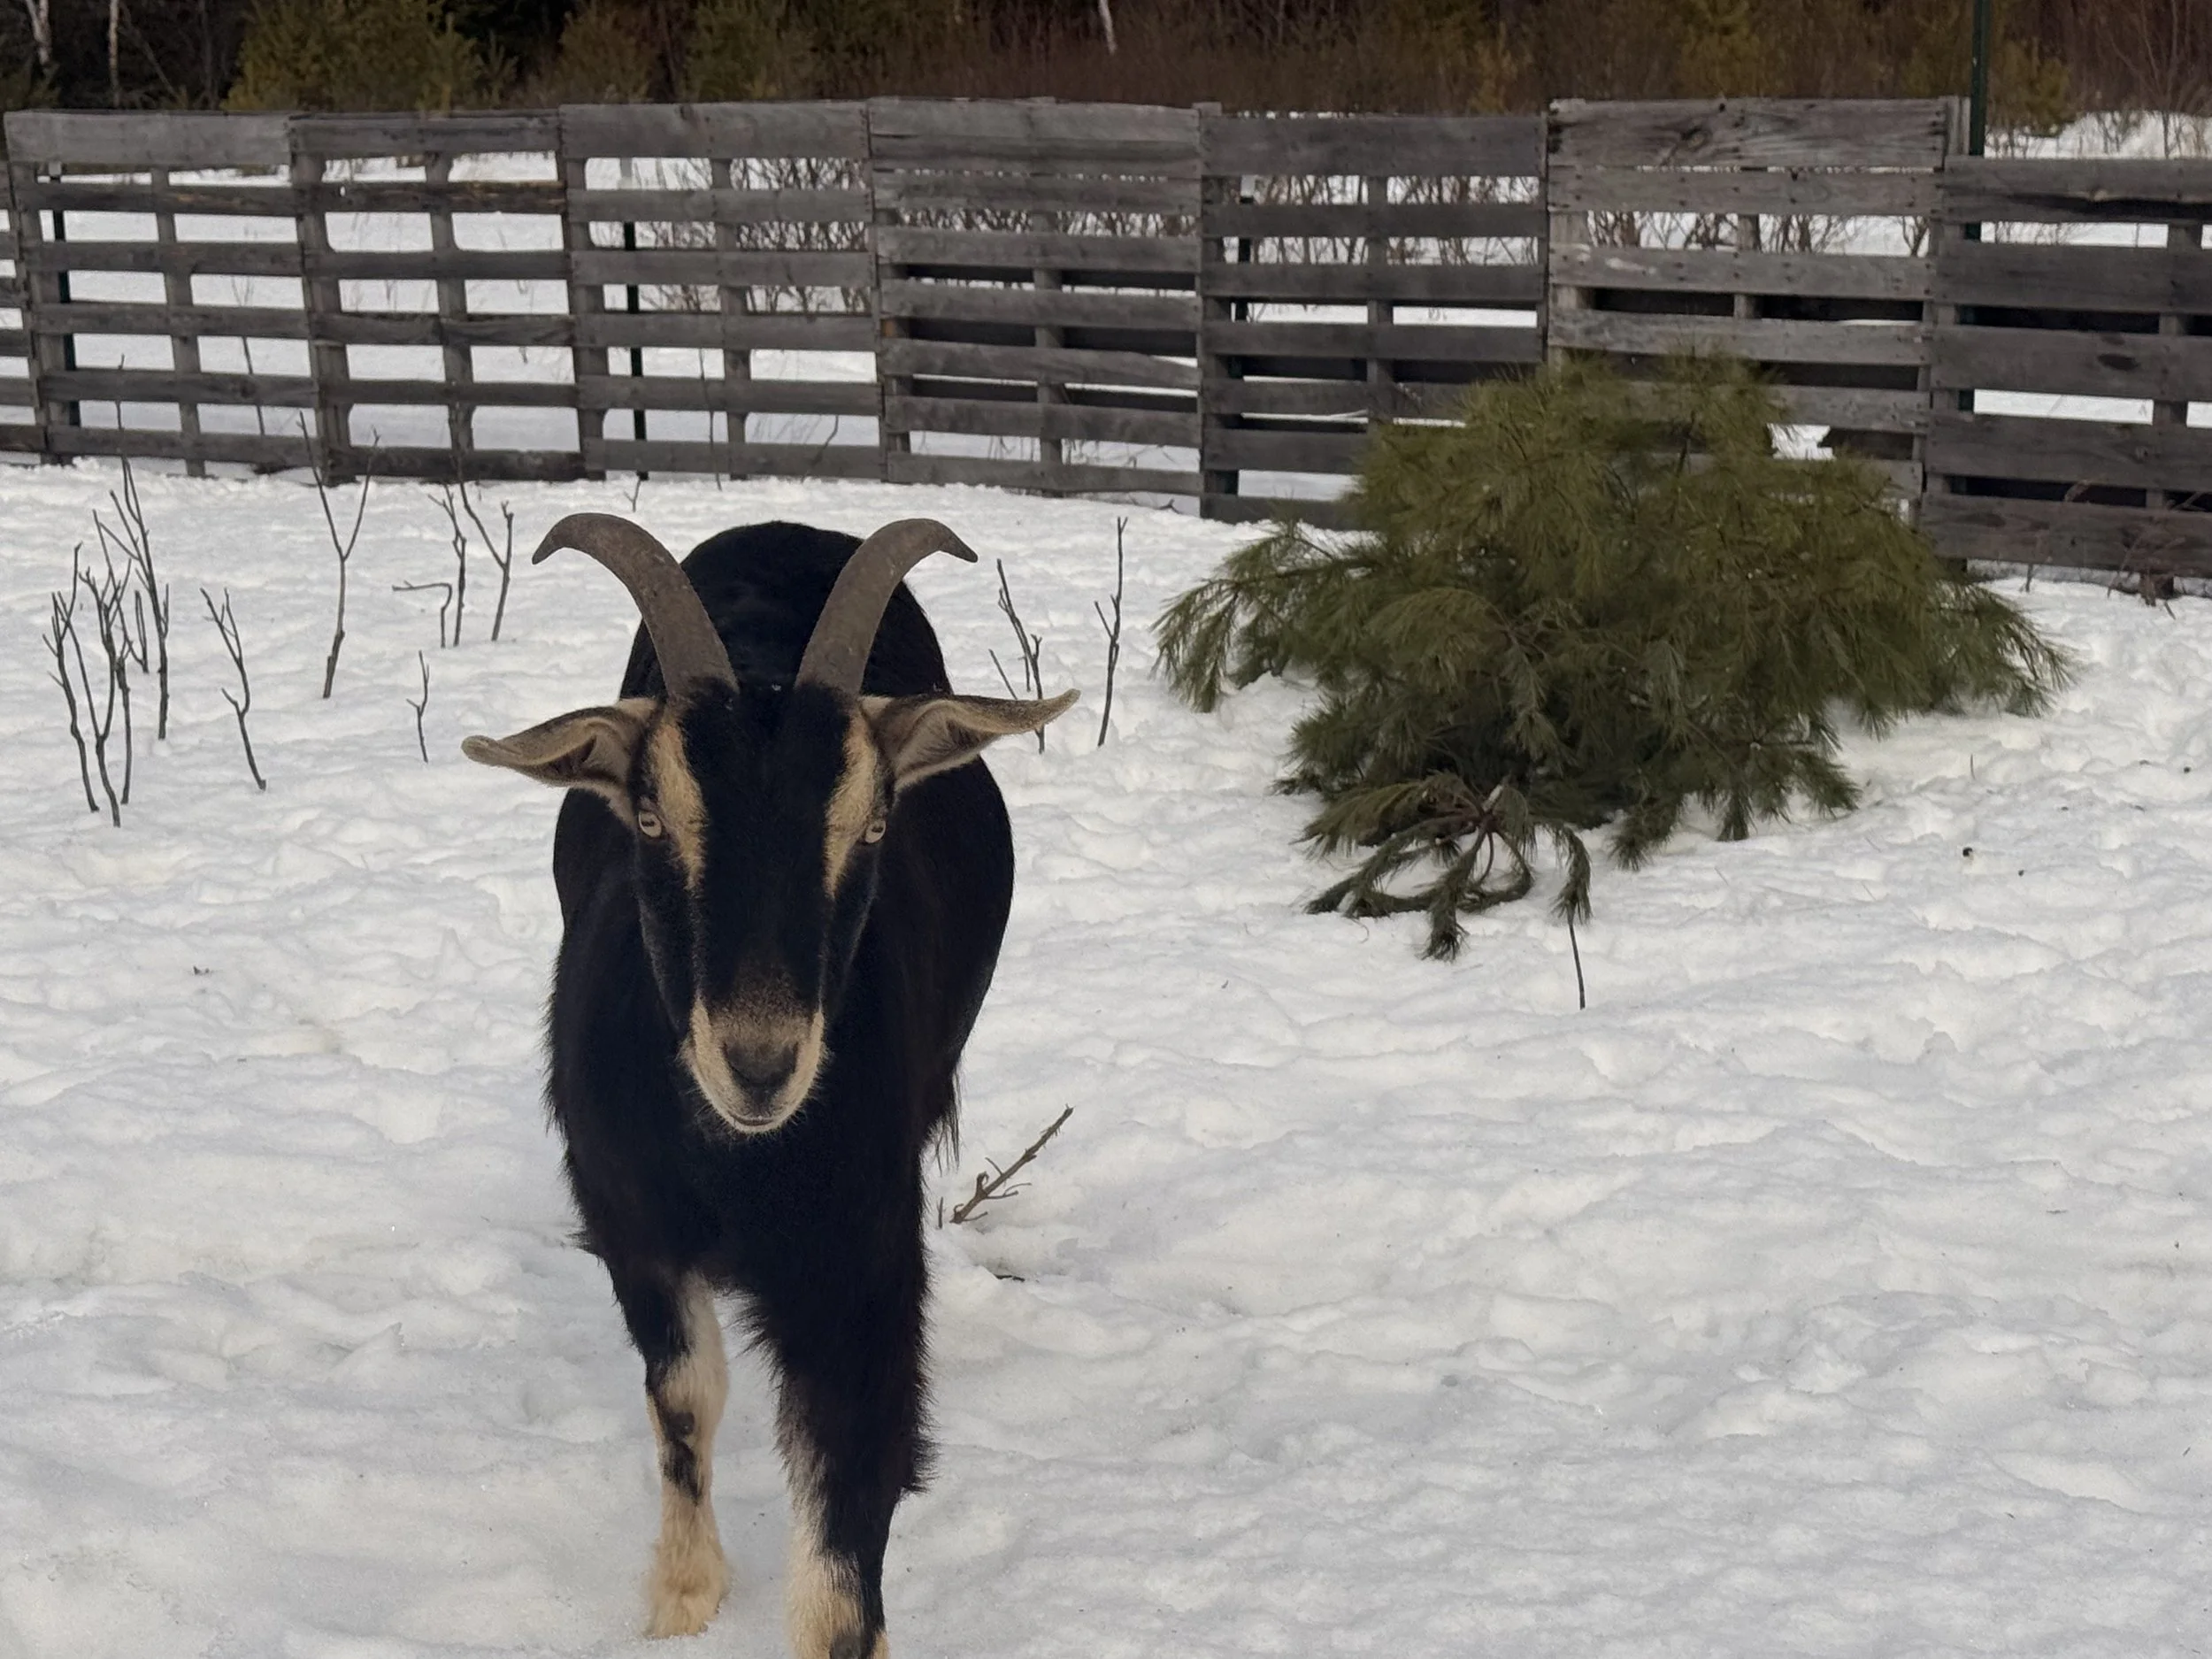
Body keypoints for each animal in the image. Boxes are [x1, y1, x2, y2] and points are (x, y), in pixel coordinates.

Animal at [463, 514, 1075, 1658]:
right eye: (650, 818)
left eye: (873, 822)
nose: (759, 1062)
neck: (738, 1164)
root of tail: (787, 528)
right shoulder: (632, 1222)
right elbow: (684, 1395)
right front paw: (681, 1598)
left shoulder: (860, 1257)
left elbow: (849, 1503)